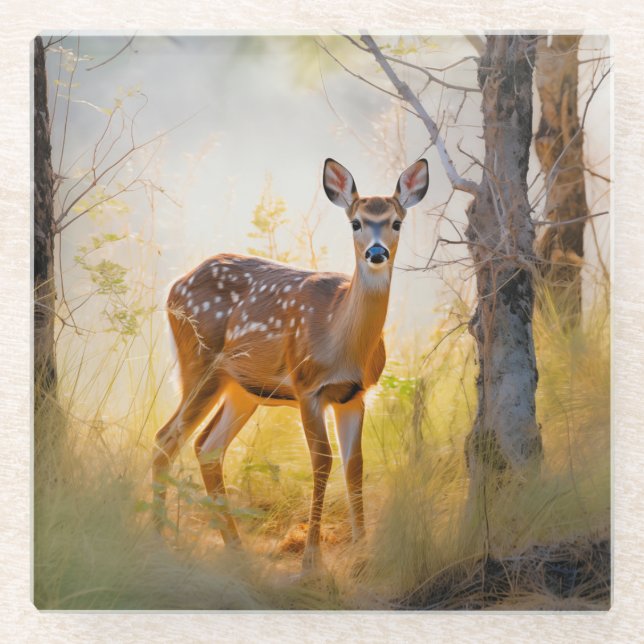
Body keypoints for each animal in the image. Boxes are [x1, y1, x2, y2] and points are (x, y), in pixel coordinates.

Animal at [152, 158, 429, 571]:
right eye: (356, 222)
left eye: (396, 222)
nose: (377, 252)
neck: (340, 339)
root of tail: (174, 286)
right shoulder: (307, 386)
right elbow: (322, 461)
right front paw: (311, 559)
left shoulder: (355, 394)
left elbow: (355, 464)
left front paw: (363, 553)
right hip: (199, 363)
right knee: (166, 439)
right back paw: (158, 538)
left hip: (243, 388)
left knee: (207, 446)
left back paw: (235, 547)